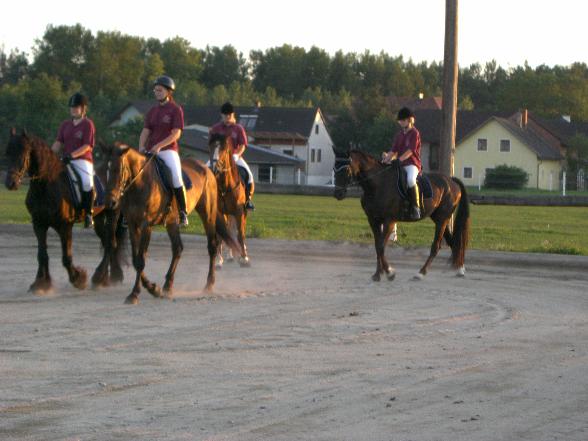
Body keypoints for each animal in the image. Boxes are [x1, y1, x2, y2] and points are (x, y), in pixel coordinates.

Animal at [4, 127, 126, 292]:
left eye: (22, 154)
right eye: (7, 152)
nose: (10, 183)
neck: (46, 185)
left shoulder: (64, 226)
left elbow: (66, 257)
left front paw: (78, 278)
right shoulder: (39, 224)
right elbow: (42, 254)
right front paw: (41, 283)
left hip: (113, 214)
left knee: (111, 243)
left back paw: (100, 277)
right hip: (99, 218)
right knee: (107, 241)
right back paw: (107, 278)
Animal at [103, 143, 239, 304]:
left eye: (117, 169)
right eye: (105, 169)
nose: (110, 202)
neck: (140, 183)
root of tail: (207, 169)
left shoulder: (146, 226)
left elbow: (141, 260)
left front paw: (138, 293)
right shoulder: (132, 225)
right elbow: (136, 260)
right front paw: (152, 288)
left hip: (208, 214)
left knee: (212, 246)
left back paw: (209, 285)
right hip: (171, 222)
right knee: (178, 248)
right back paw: (168, 286)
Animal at [209, 132, 250, 266]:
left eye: (224, 149)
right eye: (210, 147)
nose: (215, 168)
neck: (225, 187)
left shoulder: (239, 211)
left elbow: (240, 234)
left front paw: (244, 258)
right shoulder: (220, 212)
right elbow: (221, 235)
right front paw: (218, 260)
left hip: (242, 212)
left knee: (238, 230)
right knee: (228, 231)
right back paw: (230, 255)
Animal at [336, 150, 468, 282]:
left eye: (346, 169)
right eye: (334, 168)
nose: (338, 193)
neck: (378, 184)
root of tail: (451, 181)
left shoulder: (389, 221)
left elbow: (381, 246)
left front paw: (389, 273)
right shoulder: (374, 220)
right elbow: (378, 246)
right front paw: (378, 274)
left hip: (442, 219)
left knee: (436, 246)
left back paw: (420, 273)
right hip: (439, 218)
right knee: (452, 242)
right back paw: (460, 269)